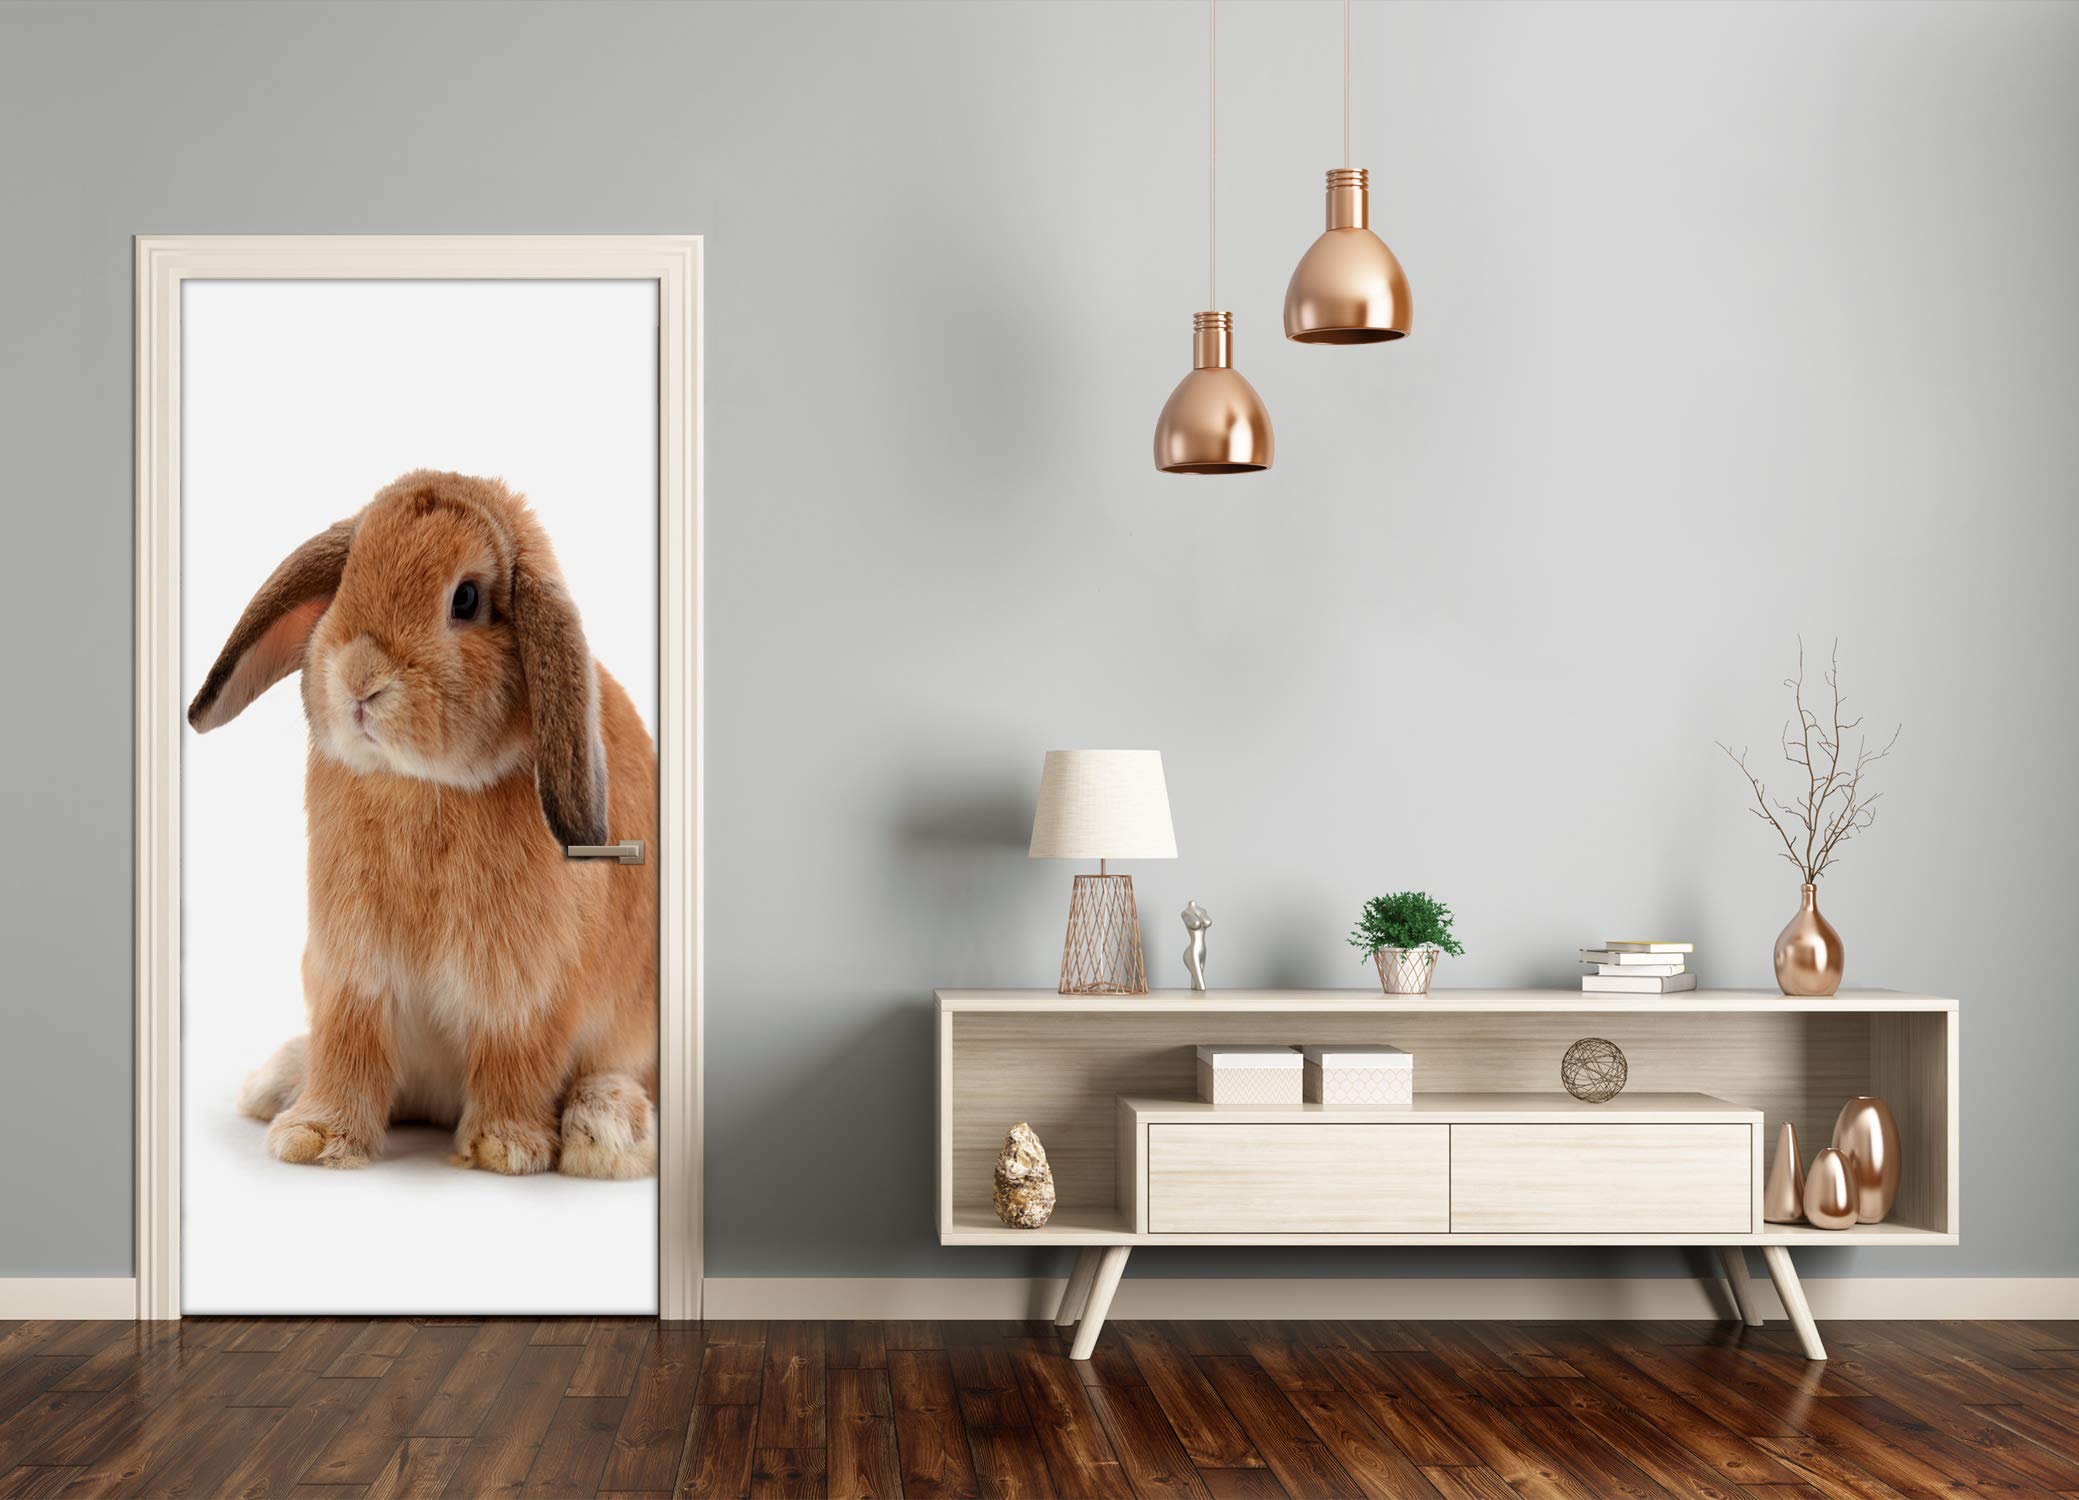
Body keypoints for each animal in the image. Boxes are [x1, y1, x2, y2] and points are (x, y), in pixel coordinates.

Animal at [188, 470, 659, 1179]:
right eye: (348, 577)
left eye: (465, 598)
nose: (360, 678)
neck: (422, 784)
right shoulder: (353, 971)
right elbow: (348, 1049)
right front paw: (313, 1138)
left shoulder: (525, 987)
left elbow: (515, 1057)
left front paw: (502, 1149)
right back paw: (276, 1083)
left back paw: (606, 1130)